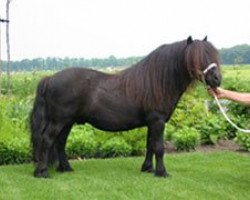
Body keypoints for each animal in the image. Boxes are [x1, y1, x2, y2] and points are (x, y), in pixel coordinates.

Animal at [30, 36, 221, 178]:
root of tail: (49, 78)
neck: (157, 81)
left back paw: (66, 168)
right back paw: (42, 172)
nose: (217, 79)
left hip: (67, 122)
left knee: (60, 143)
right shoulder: (158, 121)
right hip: (59, 121)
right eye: (197, 57)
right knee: (47, 140)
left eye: (212, 54)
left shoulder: (152, 123)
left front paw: (147, 168)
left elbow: (150, 145)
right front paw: (162, 172)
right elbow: (159, 147)